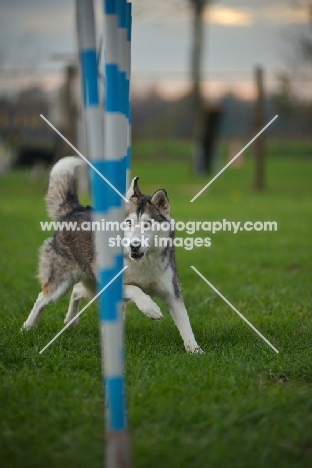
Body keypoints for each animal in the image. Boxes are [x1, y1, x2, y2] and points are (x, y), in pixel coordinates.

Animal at [22, 155, 202, 352]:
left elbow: (185, 323)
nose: (134, 246)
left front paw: (195, 350)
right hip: (61, 284)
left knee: (77, 290)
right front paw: (150, 308)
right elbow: (135, 289)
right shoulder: (114, 285)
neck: (142, 263)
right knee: (42, 298)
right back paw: (28, 326)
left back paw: (71, 321)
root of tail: (75, 210)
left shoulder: (172, 293)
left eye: (147, 224)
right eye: (129, 223)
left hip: (91, 285)